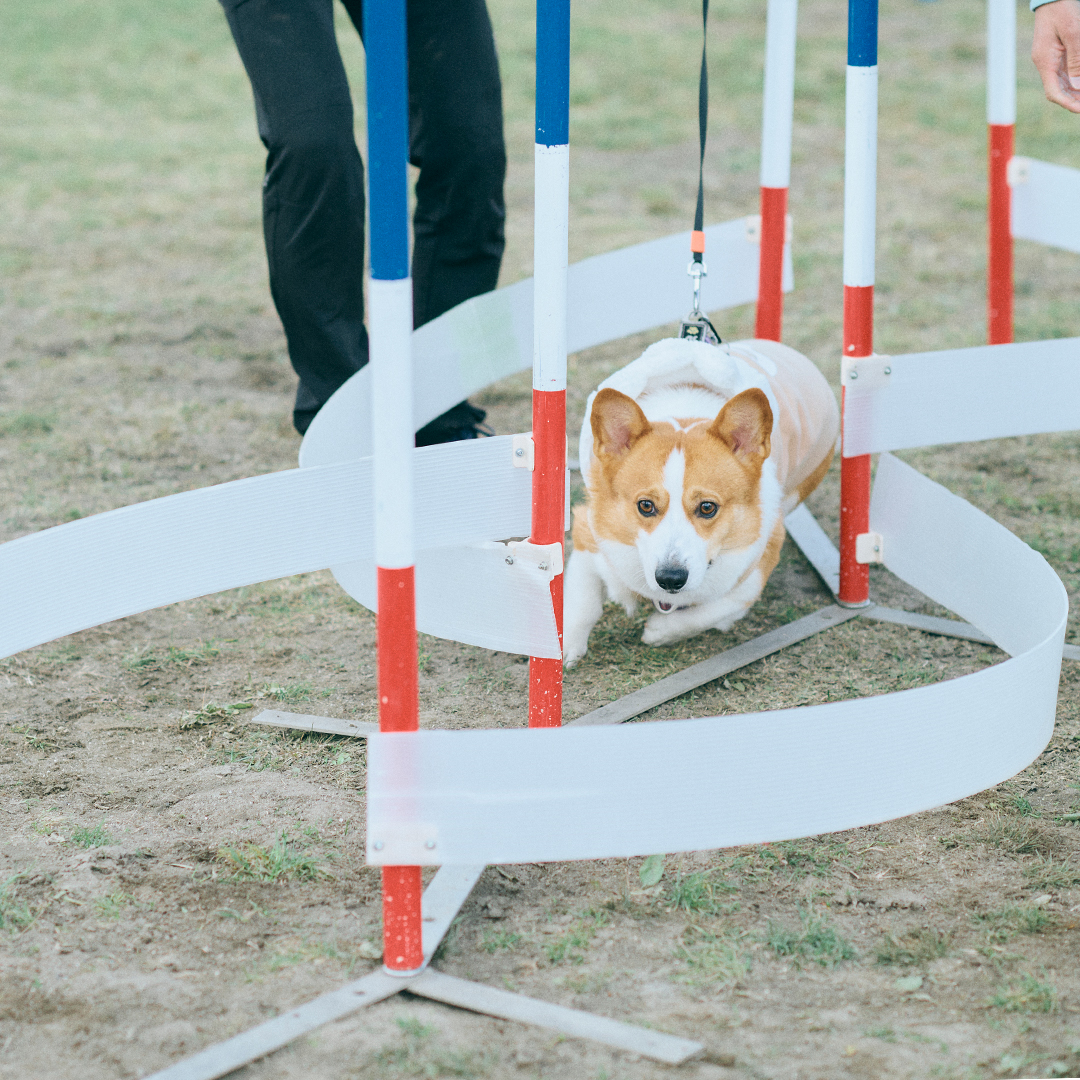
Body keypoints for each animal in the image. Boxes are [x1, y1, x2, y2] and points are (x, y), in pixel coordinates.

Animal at [565, 334, 842, 665]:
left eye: (707, 507)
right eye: (645, 505)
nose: (670, 579)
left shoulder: (753, 569)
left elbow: (712, 610)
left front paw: (660, 631)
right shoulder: (587, 530)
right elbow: (582, 602)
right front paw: (566, 650)